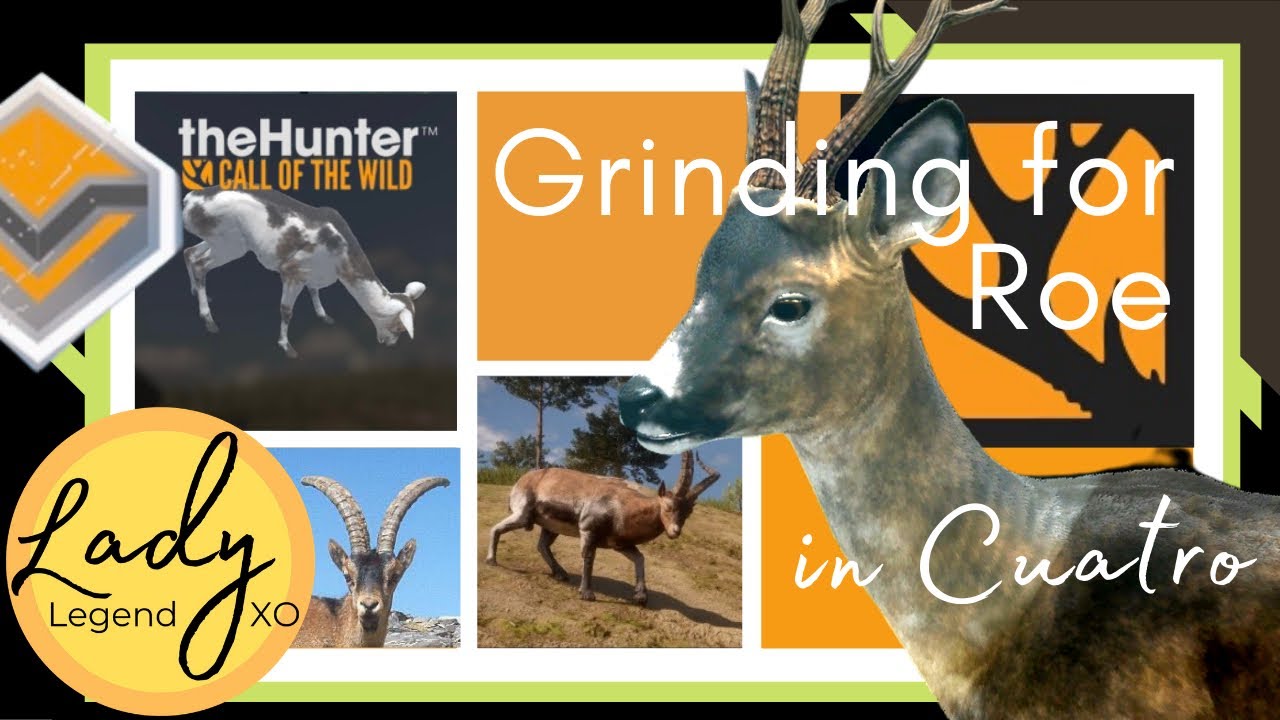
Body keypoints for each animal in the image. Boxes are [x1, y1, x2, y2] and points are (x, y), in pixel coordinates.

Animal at [180, 187, 426, 358]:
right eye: (400, 327)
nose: (389, 343)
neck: (340, 260)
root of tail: (189, 200)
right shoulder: (292, 270)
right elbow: (286, 310)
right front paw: (288, 348)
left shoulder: (312, 274)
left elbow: (315, 291)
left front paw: (325, 316)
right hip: (230, 243)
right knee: (200, 263)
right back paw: (210, 322)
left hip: (221, 241)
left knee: (189, 252)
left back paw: (195, 292)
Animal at [485, 451, 720, 605]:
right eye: (669, 506)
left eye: (688, 512)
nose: (675, 532)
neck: (621, 504)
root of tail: (522, 480)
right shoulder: (589, 531)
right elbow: (589, 558)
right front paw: (587, 594)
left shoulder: (619, 544)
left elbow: (640, 558)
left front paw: (641, 597)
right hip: (523, 515)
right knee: (496, 528)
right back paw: (491, 561)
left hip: (550, 528)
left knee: (542, 546)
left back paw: (561, 574)